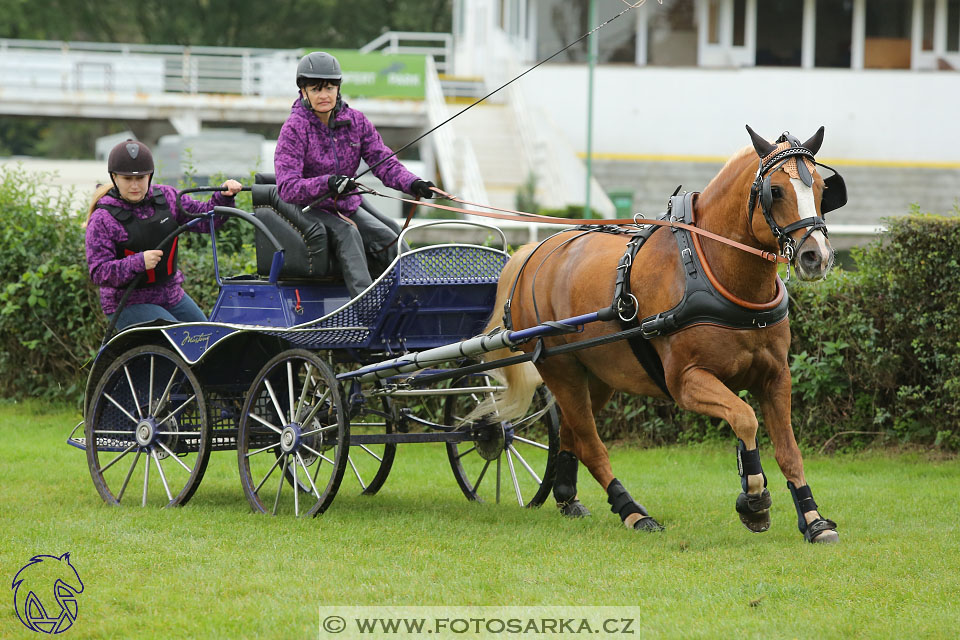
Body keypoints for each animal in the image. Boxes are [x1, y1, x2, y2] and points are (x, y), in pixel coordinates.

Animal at [480, 126, 840, 544]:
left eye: (821, 188)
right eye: (777, 191)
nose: (817, 257)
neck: (711, 267)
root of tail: (534, 252)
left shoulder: (776, 377)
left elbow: (788, 450)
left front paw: (813, 519)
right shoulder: (686, 382)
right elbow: (745, 418)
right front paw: (754, 501)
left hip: (597, 376)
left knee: (572, 433)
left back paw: (568, 498)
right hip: (562, 370)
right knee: (591, 444)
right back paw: (633, 512)